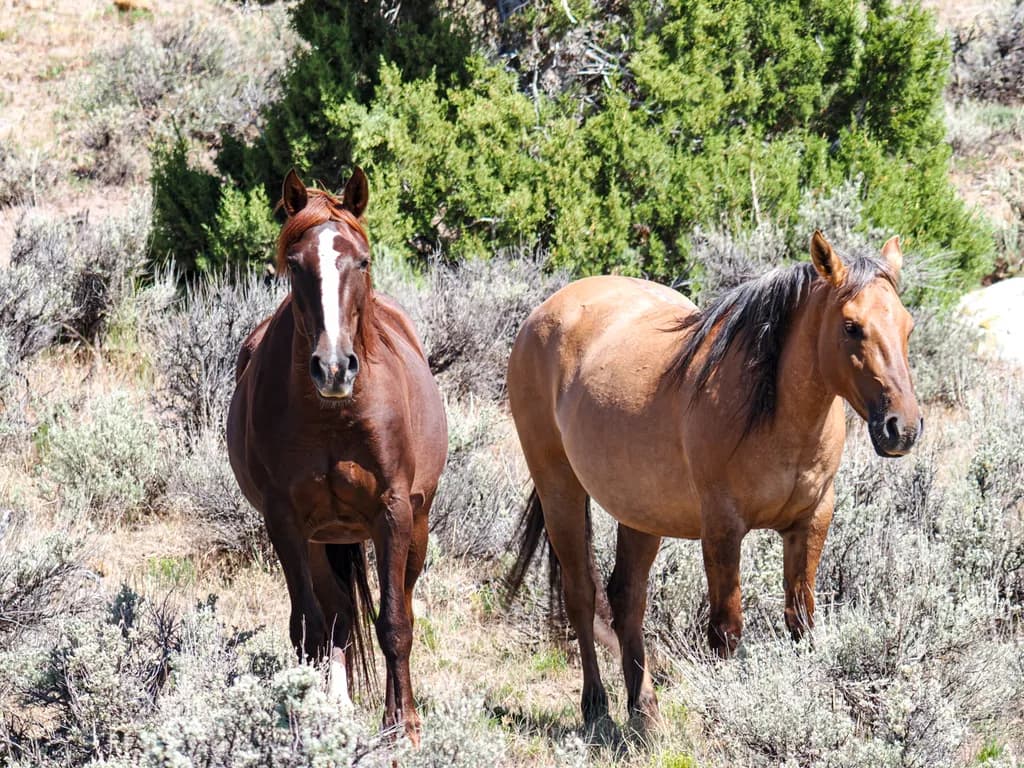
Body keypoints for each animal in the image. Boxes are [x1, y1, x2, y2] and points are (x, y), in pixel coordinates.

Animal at [227, 168, 447, 744]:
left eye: (362, 260)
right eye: (295, 263)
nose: (333, 368)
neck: (333, 415)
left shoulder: (393, 512)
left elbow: (394, 622)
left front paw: (403, 728)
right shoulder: (286, 521)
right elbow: (309, 628)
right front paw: (304, 721)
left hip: (415, 526)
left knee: (397, 605)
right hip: (323, 538)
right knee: (339, 618)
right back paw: (338, 707)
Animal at [504, 231, 922, 728]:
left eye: (908, 326)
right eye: (852, 326)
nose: (903, 428)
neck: (776, 413)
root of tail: (544, 313)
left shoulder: (812, 520)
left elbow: (801, 621)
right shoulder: (723, 527)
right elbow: (726, 631)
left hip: (641, 513)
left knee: (627, 599)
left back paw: (645, 714)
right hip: (559, 487)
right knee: (582, 594)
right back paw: (597, 708)